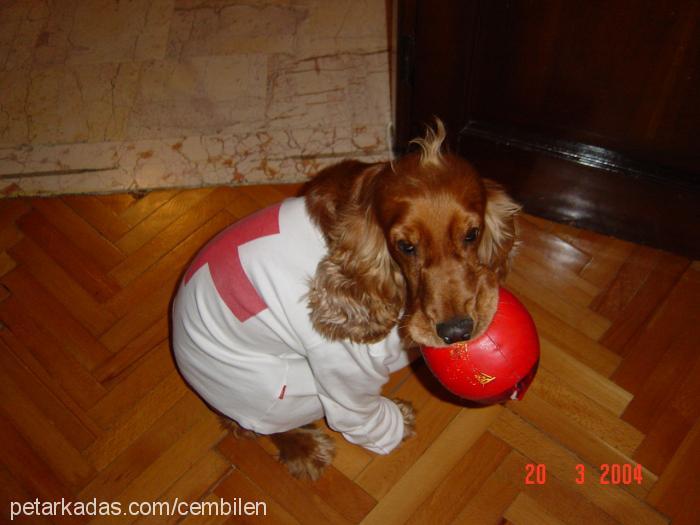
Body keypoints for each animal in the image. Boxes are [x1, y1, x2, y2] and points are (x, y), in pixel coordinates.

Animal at [171, 122, 520, 478]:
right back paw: (305, 448)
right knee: (260, 425)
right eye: (405, 246)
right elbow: (358, 411)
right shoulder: (345, 365)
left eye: (472, 234)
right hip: (285, 392)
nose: (456, 332)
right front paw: (397, 423)